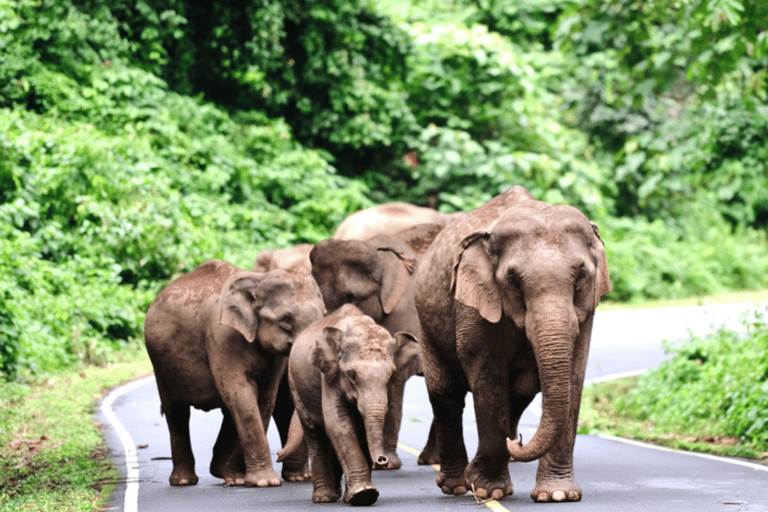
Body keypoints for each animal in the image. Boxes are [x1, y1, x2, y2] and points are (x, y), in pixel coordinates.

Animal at [144, 260, 324, 488]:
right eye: (286, 320)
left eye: (324, 315)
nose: (278, 454)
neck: (257, 280)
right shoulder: (221, 336)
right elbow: (240, 394)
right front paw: (264, 482)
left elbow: (264, 398)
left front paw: (244, 479)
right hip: (160, 364)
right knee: (176, 411)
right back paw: (185, 481)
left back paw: (230, 475)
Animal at [282, 302, 420, 506]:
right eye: (352, 375)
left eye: (391, 376)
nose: (382, 460)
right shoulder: (329, 375)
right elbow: (339, 424)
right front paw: (364, 494)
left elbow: (360, 430)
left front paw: (359, 496)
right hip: (295, 384)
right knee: (314, 433)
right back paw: (324, 498)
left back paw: (339, 494)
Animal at [412, 186, 608, 502]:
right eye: (513, 280)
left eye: (581, 276)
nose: (518, 440)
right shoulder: (473, 305)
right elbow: (489, 378)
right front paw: (489, 489)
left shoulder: (587, 311)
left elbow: (574, 376)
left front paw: (558, 495)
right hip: (426, 324)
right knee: (446, 393)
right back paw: (456, 486)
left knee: (519, 394)